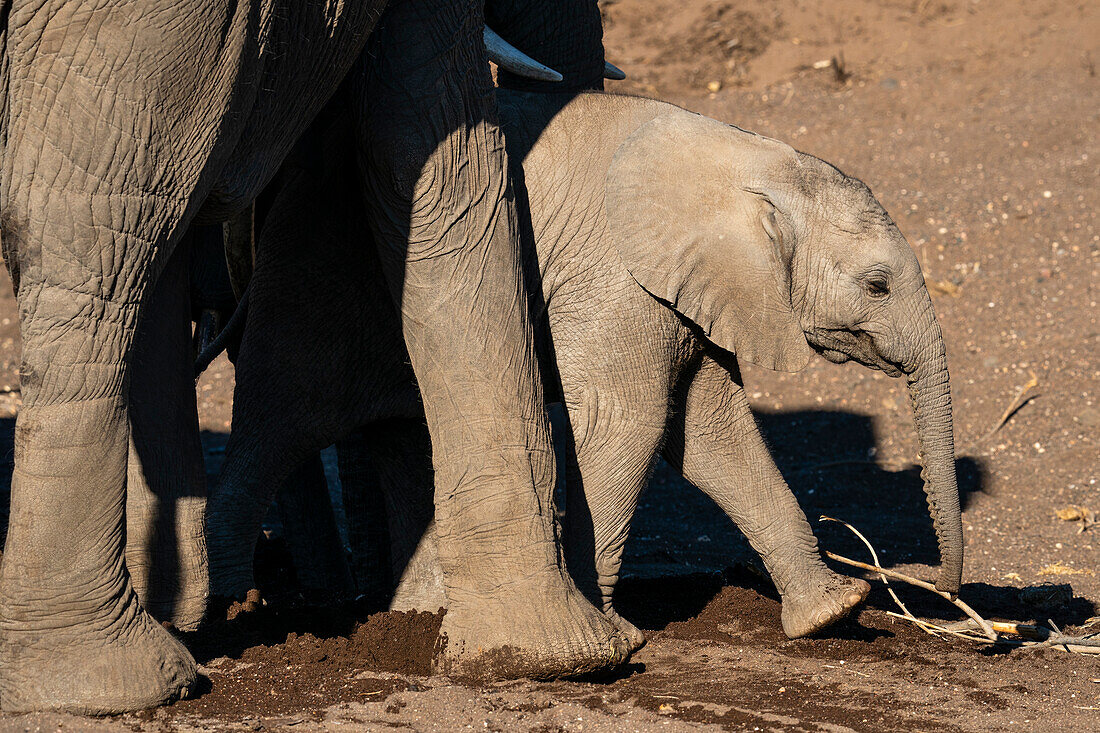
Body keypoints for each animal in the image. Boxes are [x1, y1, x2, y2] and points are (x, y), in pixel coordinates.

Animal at [207, 86, 963, 647]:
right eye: (877, 286)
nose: (942, 589)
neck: (753, 161)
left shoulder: (686, 290)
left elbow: (711, 434)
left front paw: (833, 613)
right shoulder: (618, 276)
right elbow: (628, 423)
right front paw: (612, 636)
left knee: (404, 432)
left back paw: (418, 619)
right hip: (320, 257)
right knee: (281, 420)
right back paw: (225, 621)